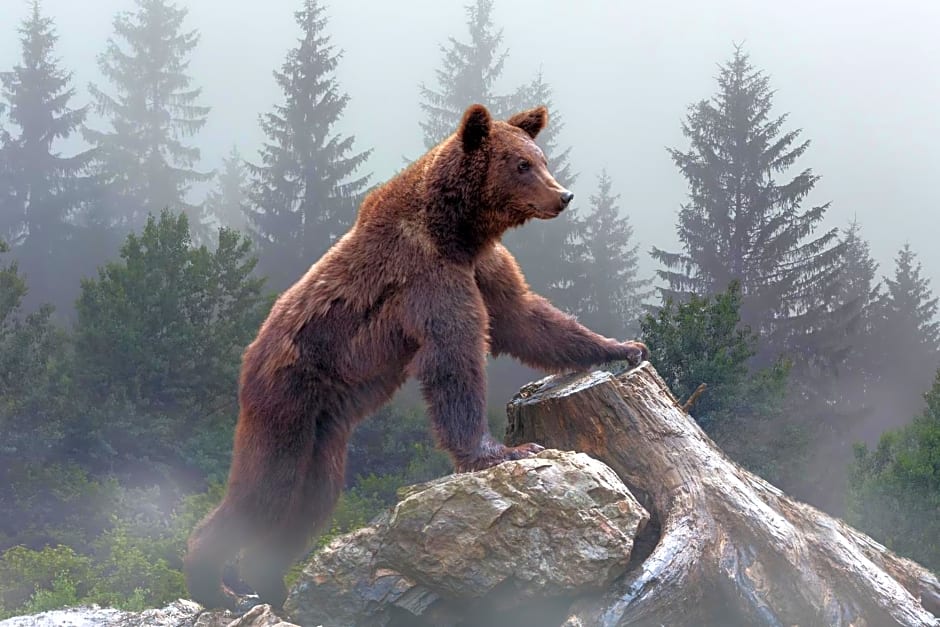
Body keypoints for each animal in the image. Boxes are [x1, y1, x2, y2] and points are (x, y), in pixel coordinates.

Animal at [184, 103, 649, 610]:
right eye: (522, 164)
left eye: (541, 158)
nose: (562, 195)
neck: (458, 230)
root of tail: (249, 355)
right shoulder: (427, 274)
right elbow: (454, 356)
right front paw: (503, 451)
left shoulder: (482, 266)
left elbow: (525, 318)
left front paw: (624, 347)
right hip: (287, 399)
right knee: (266, 489)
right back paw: (216, 586)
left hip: (325, 430)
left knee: (313, 500)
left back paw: (268, 580)